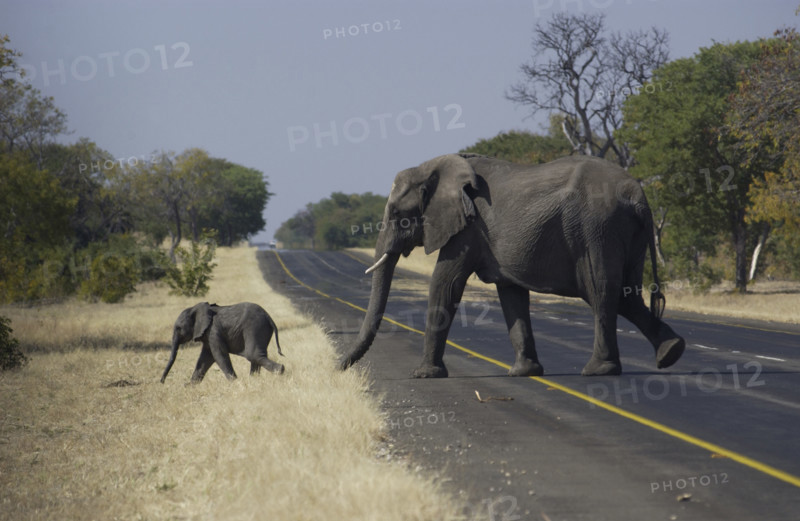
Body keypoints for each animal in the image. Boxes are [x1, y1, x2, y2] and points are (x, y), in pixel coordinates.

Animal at [339, 153, 685, 378]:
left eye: (399, 215)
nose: (337, 366)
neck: (435, 166)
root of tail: (638, 196)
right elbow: (511, 295)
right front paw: (524, 372)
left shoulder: (468, 228)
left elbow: (445, 284)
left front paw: (424, 375)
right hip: (626, 233)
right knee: (628, 295)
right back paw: (671, 353)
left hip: (597, 229)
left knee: (601, 293)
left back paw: (598, 371)